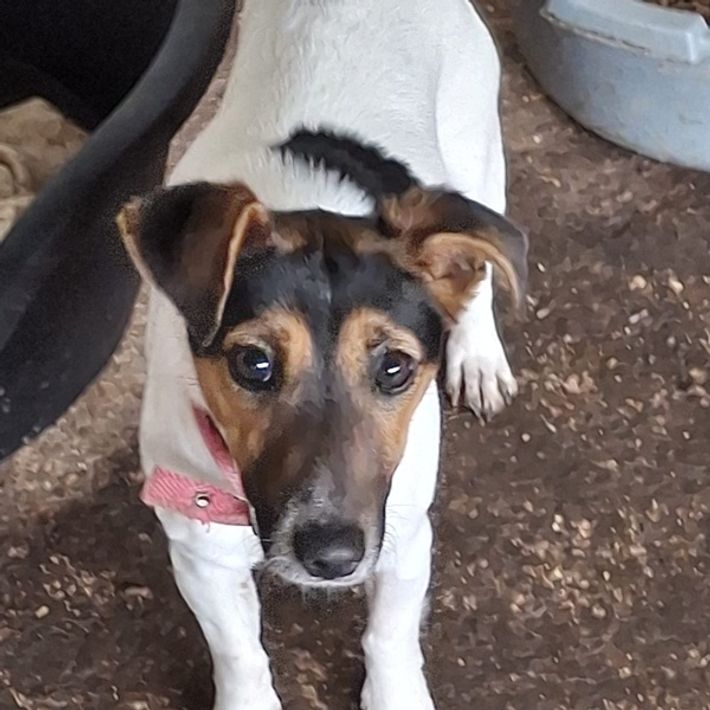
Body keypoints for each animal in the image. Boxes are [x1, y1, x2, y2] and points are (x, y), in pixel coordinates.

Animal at [116, 1, 527, 708]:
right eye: (253, 364)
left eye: (394, 367)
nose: (332, 557)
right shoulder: (200, 549)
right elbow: (238, 651)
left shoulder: (404, 537)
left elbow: (391, 638)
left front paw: (395, 695)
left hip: (478, 162)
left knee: (477, 275)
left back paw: (478, 356)